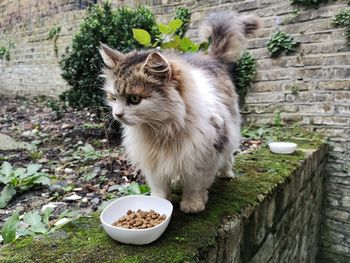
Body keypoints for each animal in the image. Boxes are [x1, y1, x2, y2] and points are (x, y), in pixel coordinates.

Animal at [100, 11, 262, 214]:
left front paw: (192, 205)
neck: (161, 130)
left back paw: (226, 173)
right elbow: (159, 187)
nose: (117, 114)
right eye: (113, 97)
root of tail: (209, 57)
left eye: (134, 99)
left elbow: (194, 186)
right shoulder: (153, 163)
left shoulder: (202, 159)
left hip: (229, 131)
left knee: (228, 156)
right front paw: (160, 201)